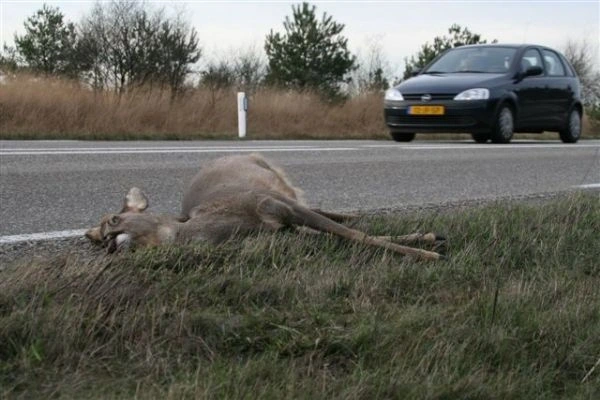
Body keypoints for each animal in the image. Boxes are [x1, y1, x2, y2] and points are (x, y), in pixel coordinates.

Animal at [85, 152, 446, 260]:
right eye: (101, 242)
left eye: (114, 219)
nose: (109, 244)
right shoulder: (284, 229)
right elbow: (345, 237)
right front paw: (429, 239)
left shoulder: (271, 203)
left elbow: (357, 235)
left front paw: (429, 253)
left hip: (277, 179)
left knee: (316, 204)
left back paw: (354, 212)